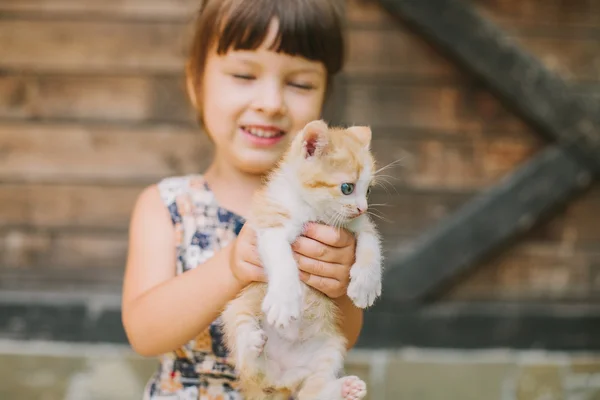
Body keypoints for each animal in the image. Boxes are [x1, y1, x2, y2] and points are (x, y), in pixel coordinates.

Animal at [221, 119, 384, 400]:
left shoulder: (360, 224)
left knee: (311, 391)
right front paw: (285, 300)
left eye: (368, 190)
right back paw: (252, 343)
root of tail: (281, 381)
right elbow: (282, 259)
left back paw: (345, 389)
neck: (314, 210)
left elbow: (371, 242)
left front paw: (366, 284)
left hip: (330, 347)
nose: (362, 207)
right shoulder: (272, 223)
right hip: (237, 310)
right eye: (347, 188)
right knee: (251, 365)